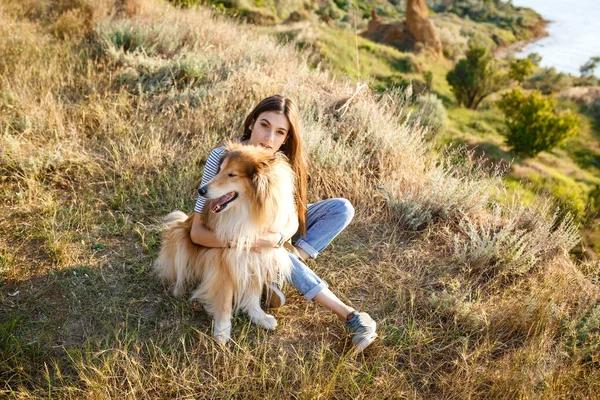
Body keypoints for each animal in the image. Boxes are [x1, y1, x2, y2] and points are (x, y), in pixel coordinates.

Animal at [154, 142, 296, 342]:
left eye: (232, 174)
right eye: (219, 170)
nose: (201, 190)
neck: (248, 211)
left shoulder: (257, 256)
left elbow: (254, 292)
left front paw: (258, 315)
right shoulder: (224, 261)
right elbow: (224, 299)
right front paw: (222, 330)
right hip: (179, 235)